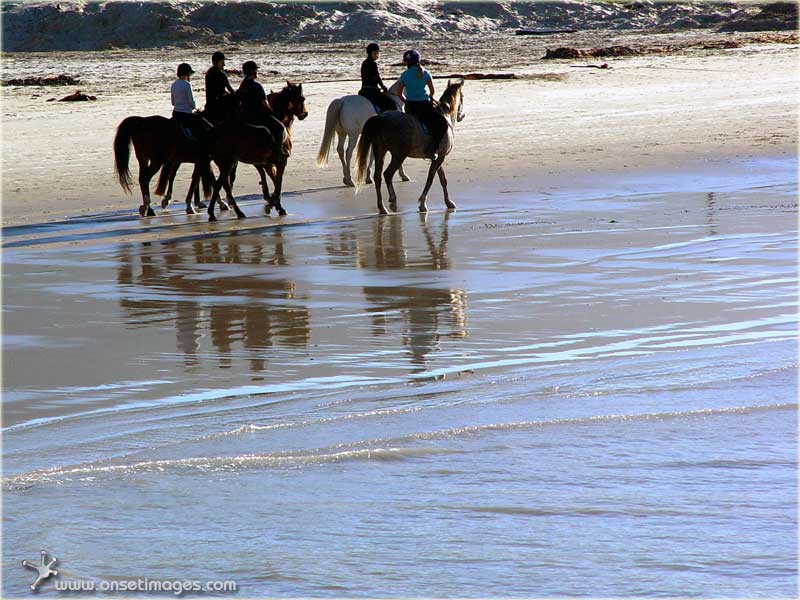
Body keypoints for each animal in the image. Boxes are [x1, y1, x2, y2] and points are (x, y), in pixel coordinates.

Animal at [206, 79, 310, 220]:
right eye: (302, 98)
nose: (305, 114)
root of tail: (214, 131)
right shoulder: (280, 161)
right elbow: (278, 182)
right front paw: (277, 206)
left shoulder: (264, 163)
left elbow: (272, 179)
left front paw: (272, 203)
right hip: (227, 163)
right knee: (221, 184)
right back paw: (230, 211)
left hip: (226, 163)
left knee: (221, 184)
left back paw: (221, 212)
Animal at [354, 79, 466, 214]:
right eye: (462, 97)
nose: (462, 115)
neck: (445, 115)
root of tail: (380, 118)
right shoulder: (440, 157)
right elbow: (430, 179)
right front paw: (422, 203)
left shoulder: (439, 157)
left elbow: (442, 179)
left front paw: (448, 202)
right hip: (398, 155)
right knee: (387, 174)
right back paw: (391, 200)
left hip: (380, 151)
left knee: (378, 177)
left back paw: (382, 207)